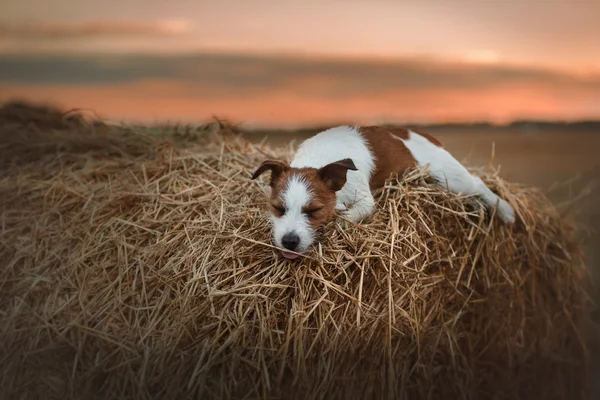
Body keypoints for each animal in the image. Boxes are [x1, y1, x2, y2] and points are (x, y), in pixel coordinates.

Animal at [250, 126, 516, 260]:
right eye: (277, 208)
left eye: (314, 211)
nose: (289, 242)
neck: (320, 158)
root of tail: (427, 135)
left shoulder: (365, 202)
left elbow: (348, 217)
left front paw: (339, 220)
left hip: (451, 178)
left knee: (478, 183)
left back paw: (506, 211)